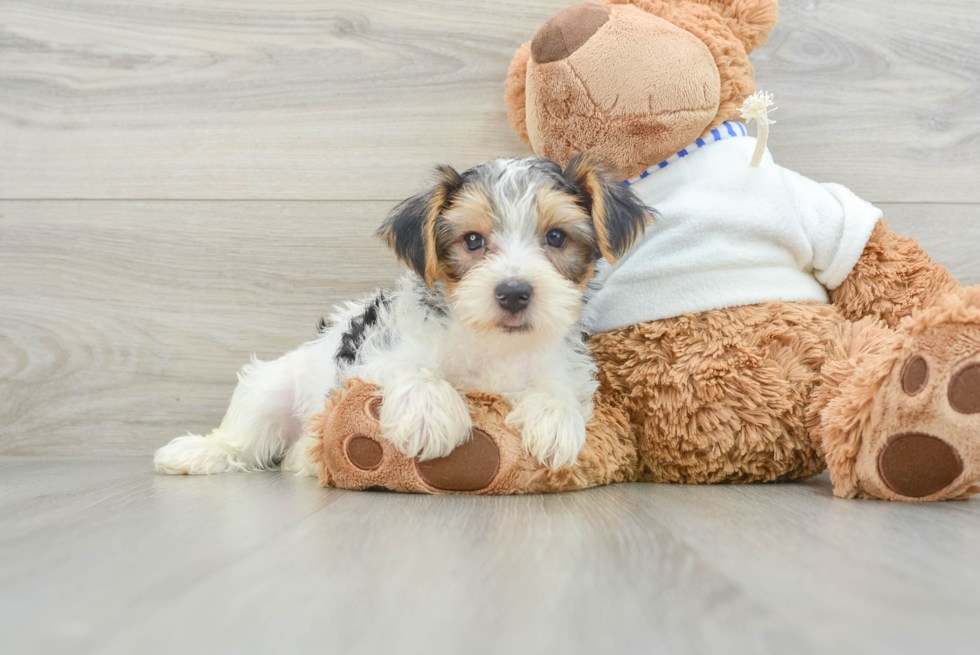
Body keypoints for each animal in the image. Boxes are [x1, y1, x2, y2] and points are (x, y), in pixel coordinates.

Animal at [153, 156, 652, 480]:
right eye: (473, 240)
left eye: (556, 237)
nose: (514, 293)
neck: (491, 345)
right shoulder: (373, 357)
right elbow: (410, 368)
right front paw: (430, 414)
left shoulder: (561, 361)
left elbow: (560, 384)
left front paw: (553, 418)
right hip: (272, 388)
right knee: (243, 433)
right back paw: (197, 452)